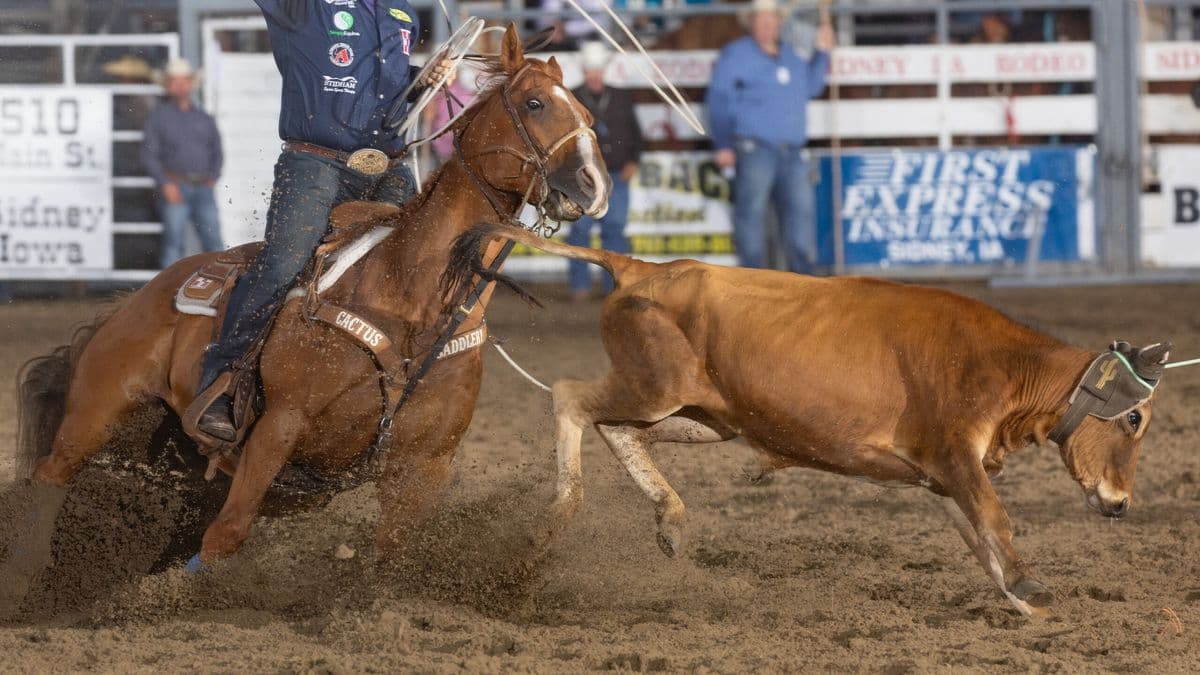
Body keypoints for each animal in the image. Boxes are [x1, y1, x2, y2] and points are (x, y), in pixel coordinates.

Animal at [445, 222, 1173, 617]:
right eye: (1134, 418)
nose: (1120, 503)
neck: (996, 362)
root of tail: (640, 268)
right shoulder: (953, 454)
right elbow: (996, 520)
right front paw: (1029, 584)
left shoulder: (939, 476)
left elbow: (979, 539)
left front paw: (1021, 597)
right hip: (652, 386)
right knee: (569, 396)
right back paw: (559, 510)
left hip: (703, 414)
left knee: (617, 429)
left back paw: (670, 518)